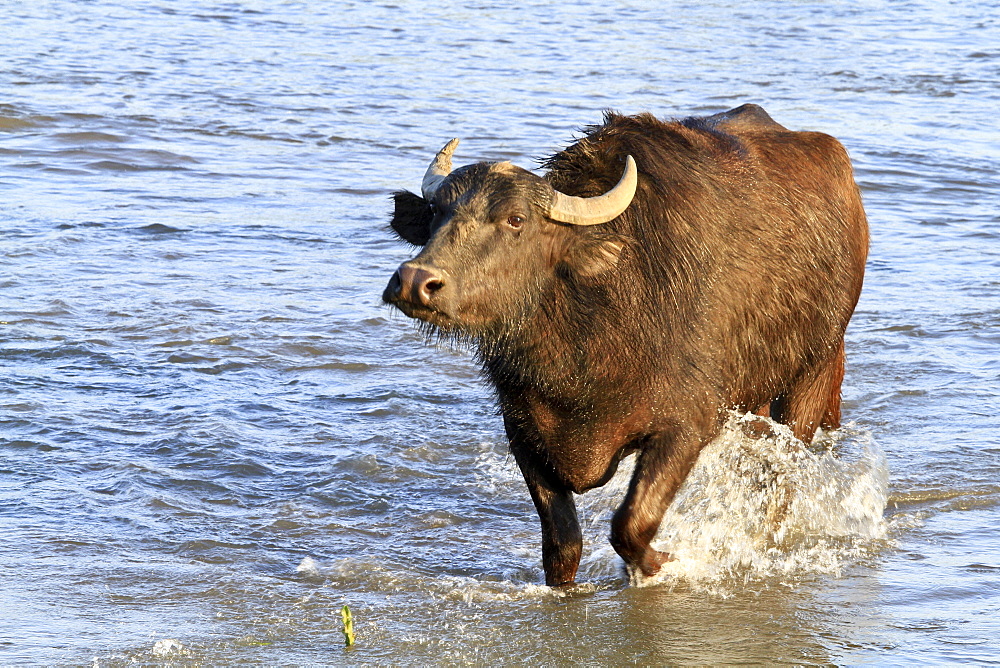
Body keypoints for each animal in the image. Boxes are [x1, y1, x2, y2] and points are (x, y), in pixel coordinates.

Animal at [382, 103, 868, 584]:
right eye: (437, 212)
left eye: (515, 219)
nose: (415, 280)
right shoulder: (522, 431)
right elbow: (562, 544)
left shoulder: (686, 426)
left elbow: (631, 525)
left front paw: (664, 563)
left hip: (814, 375)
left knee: (779, 483)